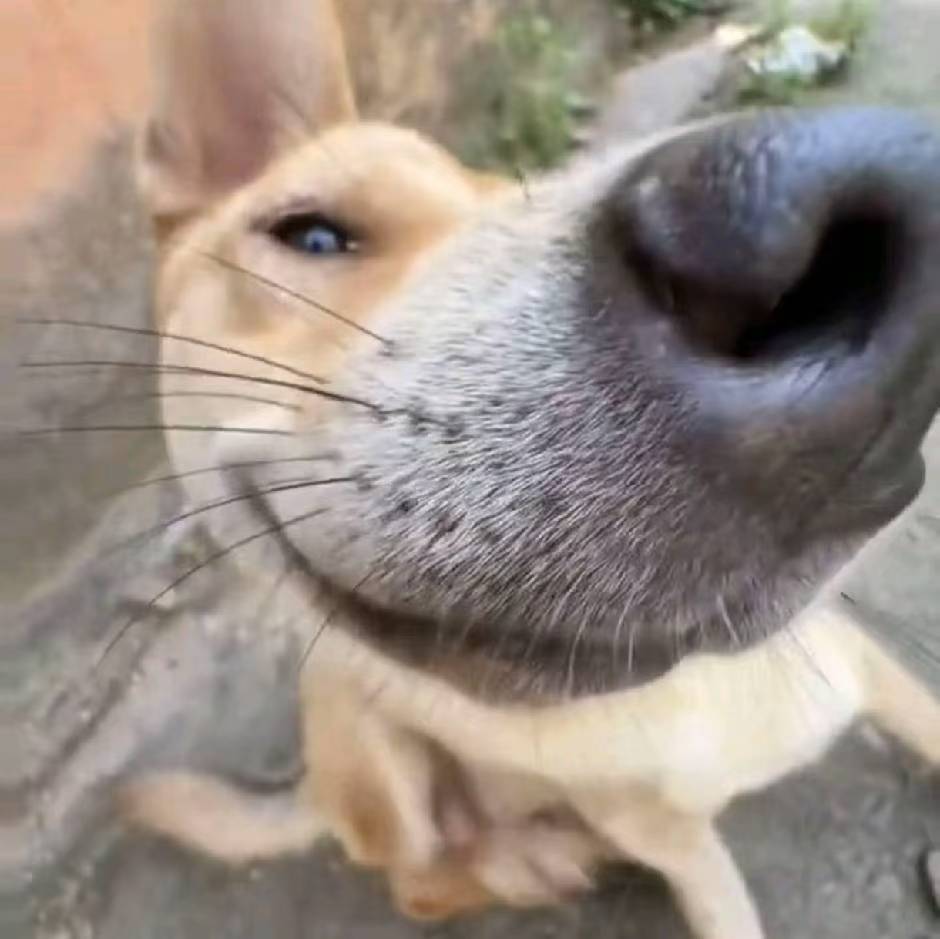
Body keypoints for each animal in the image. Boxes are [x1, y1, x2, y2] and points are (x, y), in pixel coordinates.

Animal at [119, 1, 940, 937]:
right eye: (315, 235)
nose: (774, 242)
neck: (661, 710)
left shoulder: (878, 675)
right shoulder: (679, 845)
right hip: (362, 729)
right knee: (422, 876)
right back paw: (537, 853)